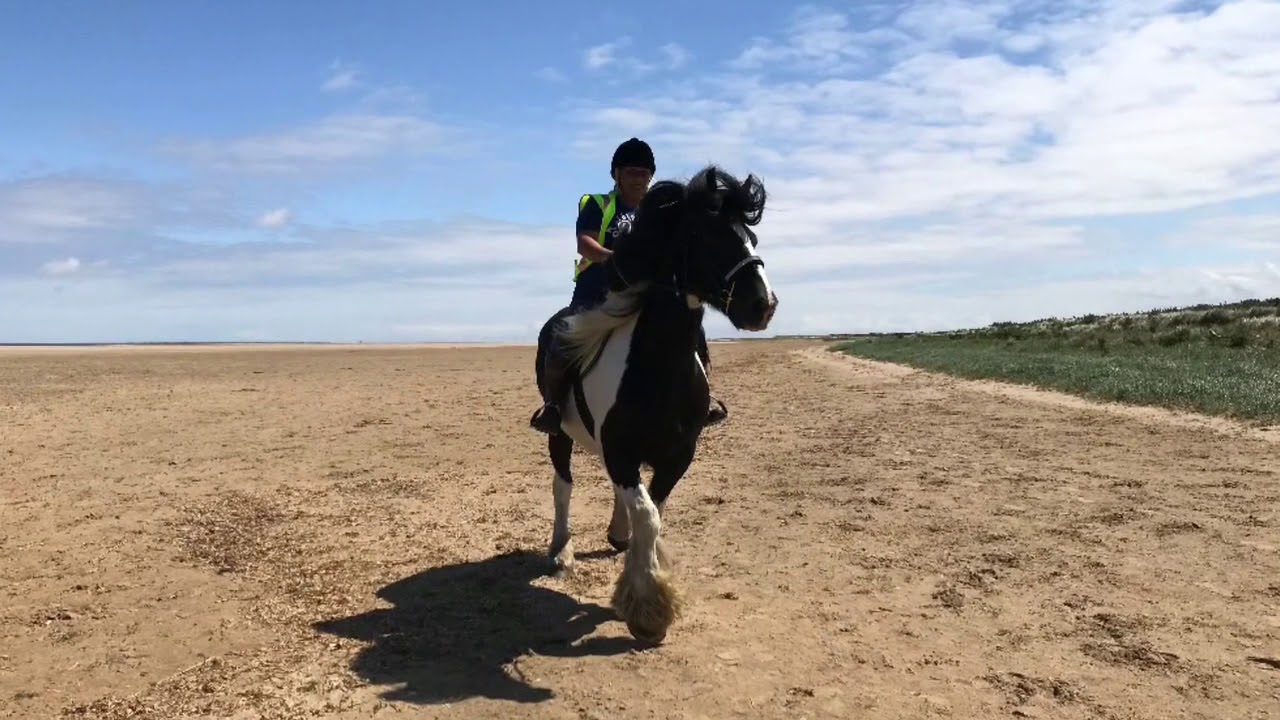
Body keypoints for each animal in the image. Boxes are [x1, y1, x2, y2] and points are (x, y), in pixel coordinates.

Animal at [531, 164, 778, 644]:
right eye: (705, 234)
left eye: (752, 238)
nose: (764, 305)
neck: (658, 365)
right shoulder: (622, 451)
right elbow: (646, 513)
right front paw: (649, 607)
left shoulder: (677, 454)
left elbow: (654, 510)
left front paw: (643, 573)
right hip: (559, 437)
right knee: (562, 487)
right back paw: (560, 551)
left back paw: (616, 533)